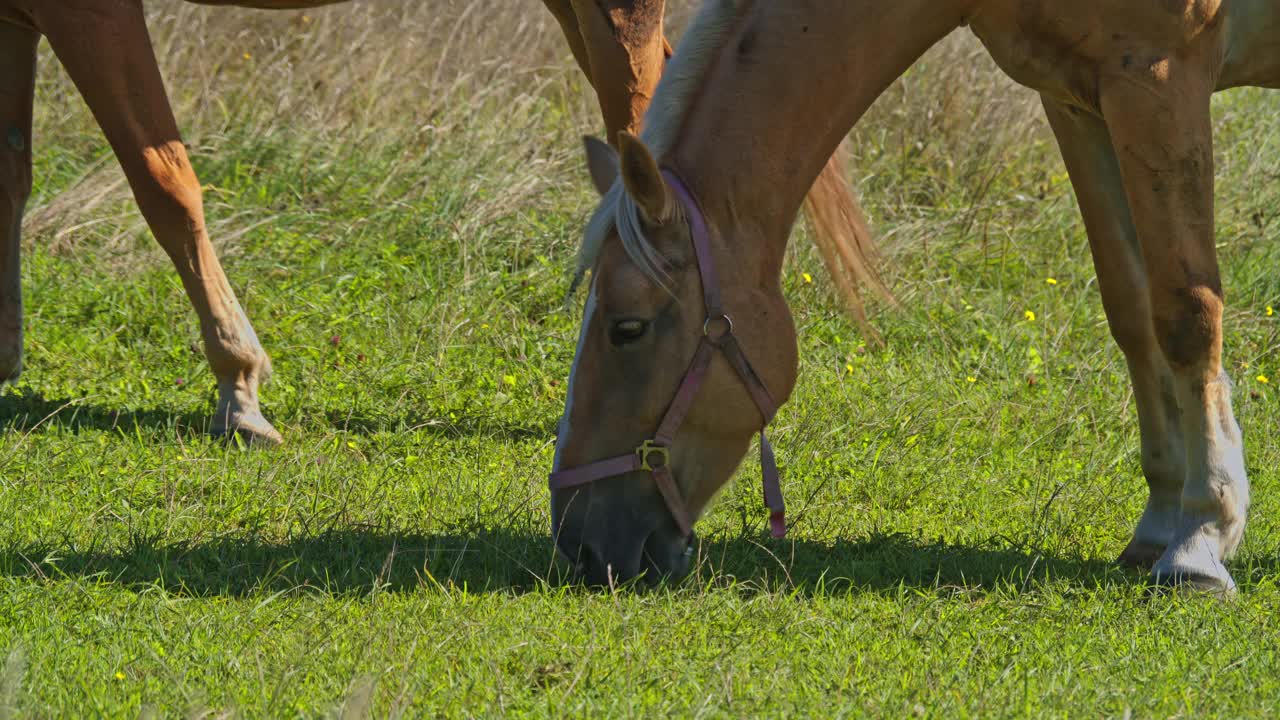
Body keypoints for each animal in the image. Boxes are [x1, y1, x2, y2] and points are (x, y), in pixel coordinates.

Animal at [545, 0, 1274, 591]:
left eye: (627, 327)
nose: (578, 543)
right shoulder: (1079, 101)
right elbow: (1132, 308)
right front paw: (1160, 520)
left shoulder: (1159, 78)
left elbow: (1184, 311)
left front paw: (1200, 539)